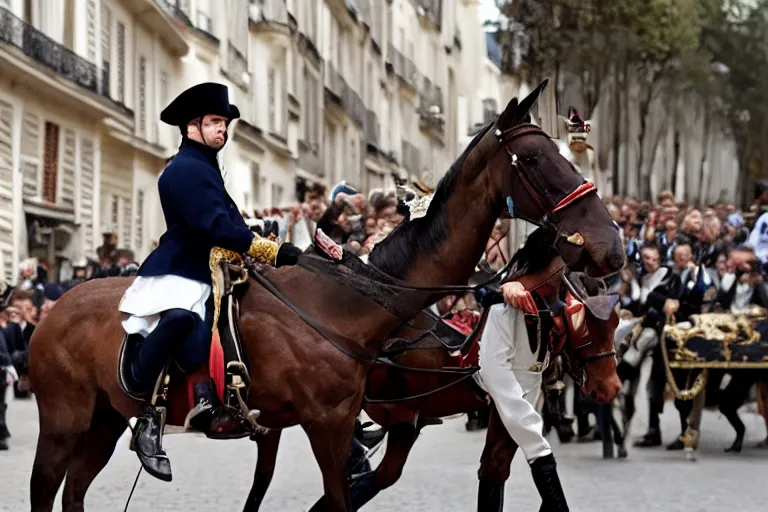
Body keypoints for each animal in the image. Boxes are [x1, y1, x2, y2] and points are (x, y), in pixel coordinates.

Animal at [28, 81, 624, 512]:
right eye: (538, 161)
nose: (612, 248)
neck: (350, 304)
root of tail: (52, 312)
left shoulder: (359, 423)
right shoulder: (329, 425)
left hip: (104, 420)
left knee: (74, 494)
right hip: (63, 423)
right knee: (46, 490)